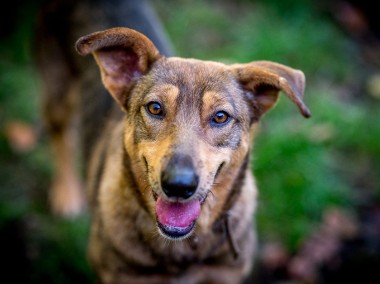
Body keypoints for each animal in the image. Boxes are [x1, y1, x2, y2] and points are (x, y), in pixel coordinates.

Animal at [35, 1, 310, 282]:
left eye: (220, 117)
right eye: (155, 108)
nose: (178, 186)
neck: (182, 246)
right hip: (57, 89)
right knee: (60, 134)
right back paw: (66, 192)